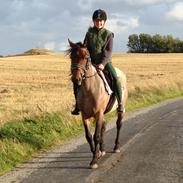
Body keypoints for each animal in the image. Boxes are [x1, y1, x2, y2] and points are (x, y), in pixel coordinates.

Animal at [68, 39, 128, 169]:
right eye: (71, 57)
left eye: (86, 57)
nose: (76, 79)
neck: (89, 88)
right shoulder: (85, 115)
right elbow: (88, 136)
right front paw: (97, 153)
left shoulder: (98, 113)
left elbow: (96, 136)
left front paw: (94, 160)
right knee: (104, 126)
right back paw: (102, 149)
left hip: (119, 110)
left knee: (119, 124)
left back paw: (116, 147)